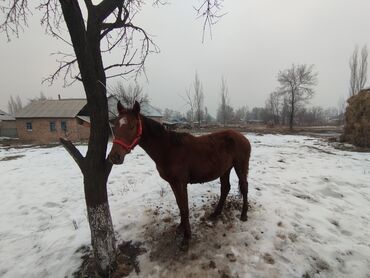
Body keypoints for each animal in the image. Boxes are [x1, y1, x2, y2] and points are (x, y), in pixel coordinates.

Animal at [107, 101, 251, 245]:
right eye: (115, 126)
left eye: (132, 126)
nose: (114, 157)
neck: (168, 149)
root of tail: (242, 137)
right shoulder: (173, 183)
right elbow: (180, 205)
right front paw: (181, 227)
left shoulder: (181, 183)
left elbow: (185, 208)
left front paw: (186, 238)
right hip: (225, 169)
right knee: (225, 188)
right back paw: (215, 213)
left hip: (240, 166)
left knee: (244, 187)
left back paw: (244, 215)